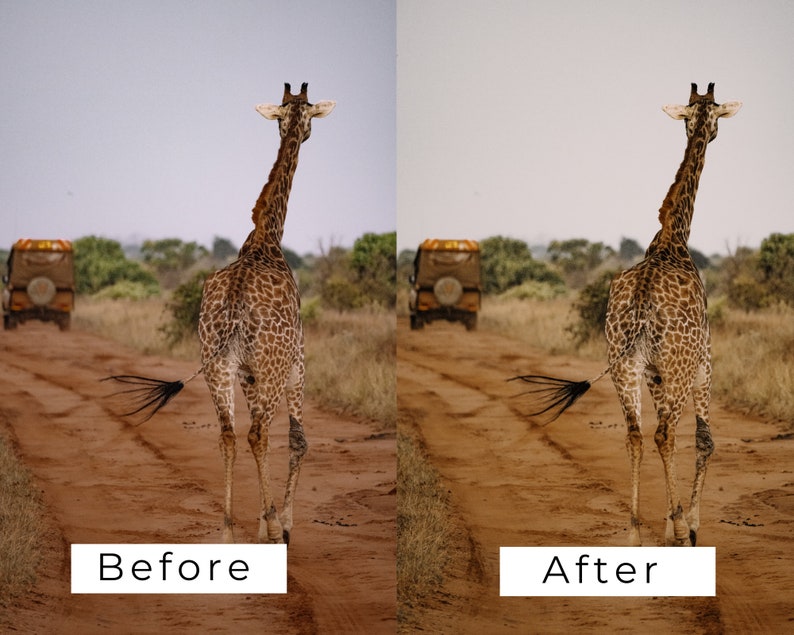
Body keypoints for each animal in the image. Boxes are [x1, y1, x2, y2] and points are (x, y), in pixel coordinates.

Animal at [106, 83, 335, 544]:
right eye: (305, 118)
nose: (303, 136)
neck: (266, 238)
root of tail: (232, 310)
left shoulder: (244, 372)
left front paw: (261, 520)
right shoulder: (298, 360)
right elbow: (298, 439)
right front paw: (280, 524)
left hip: (217, 365)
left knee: (229, 435)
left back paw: (228, 532)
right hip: (271, 367)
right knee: (259, 434)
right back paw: (272, 531)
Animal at [511, 83, 741, 546]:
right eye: (714, 117)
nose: (710, 135)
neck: (673, 238)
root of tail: (640, 306)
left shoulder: (652, 372)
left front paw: (669, 520)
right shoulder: (704, 361)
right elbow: (704, 438)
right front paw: (687, 524)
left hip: (624, 364)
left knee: (636, 434)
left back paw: (635, 532)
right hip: (677, 366)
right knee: (665, 433)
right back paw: (678, 533)